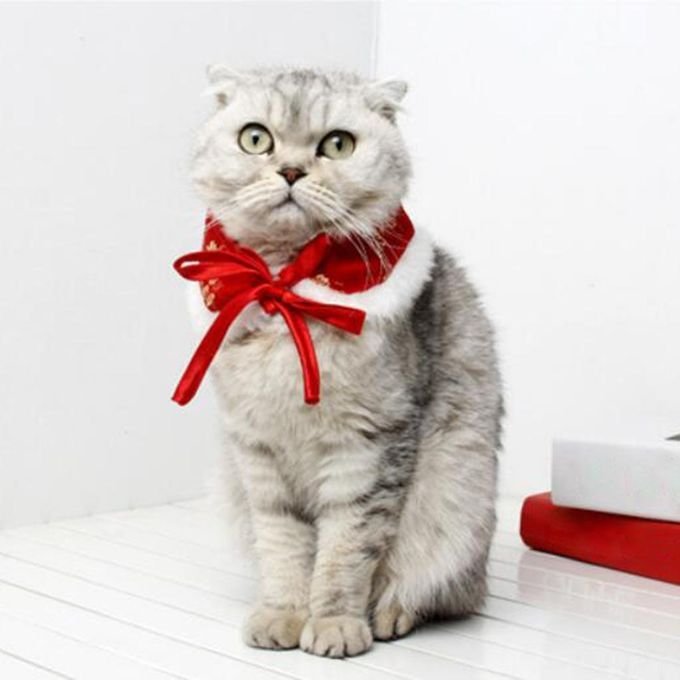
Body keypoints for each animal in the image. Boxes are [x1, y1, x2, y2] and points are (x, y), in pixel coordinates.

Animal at [187, 66, 502, 658]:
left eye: (337, 144)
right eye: (255, 138)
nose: (291, 170)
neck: (286, 289)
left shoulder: (369, 446)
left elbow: (345, 552)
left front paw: (334, 624)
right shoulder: (257, 452)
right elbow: (284, 548)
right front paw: (284, 614)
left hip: (458, 502)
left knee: (440, 593)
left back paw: (391, 614)